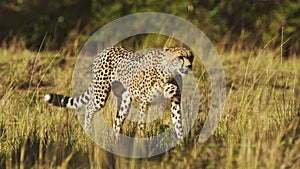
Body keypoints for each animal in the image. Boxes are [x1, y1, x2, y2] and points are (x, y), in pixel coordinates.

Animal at [45, 46, 193, 139]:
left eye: (190, 57)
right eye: (180, 57)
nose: (189, 66)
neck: (169, 73)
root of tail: (105, 50)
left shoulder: (175, 101)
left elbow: (178, 122)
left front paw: (182, 144)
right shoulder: (144, 102)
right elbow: (141, 125)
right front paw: (141, 144)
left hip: (125, 101)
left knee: (117, 121)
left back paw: (117, 143)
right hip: (100, 94)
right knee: (89, 107)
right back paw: (89, 132)